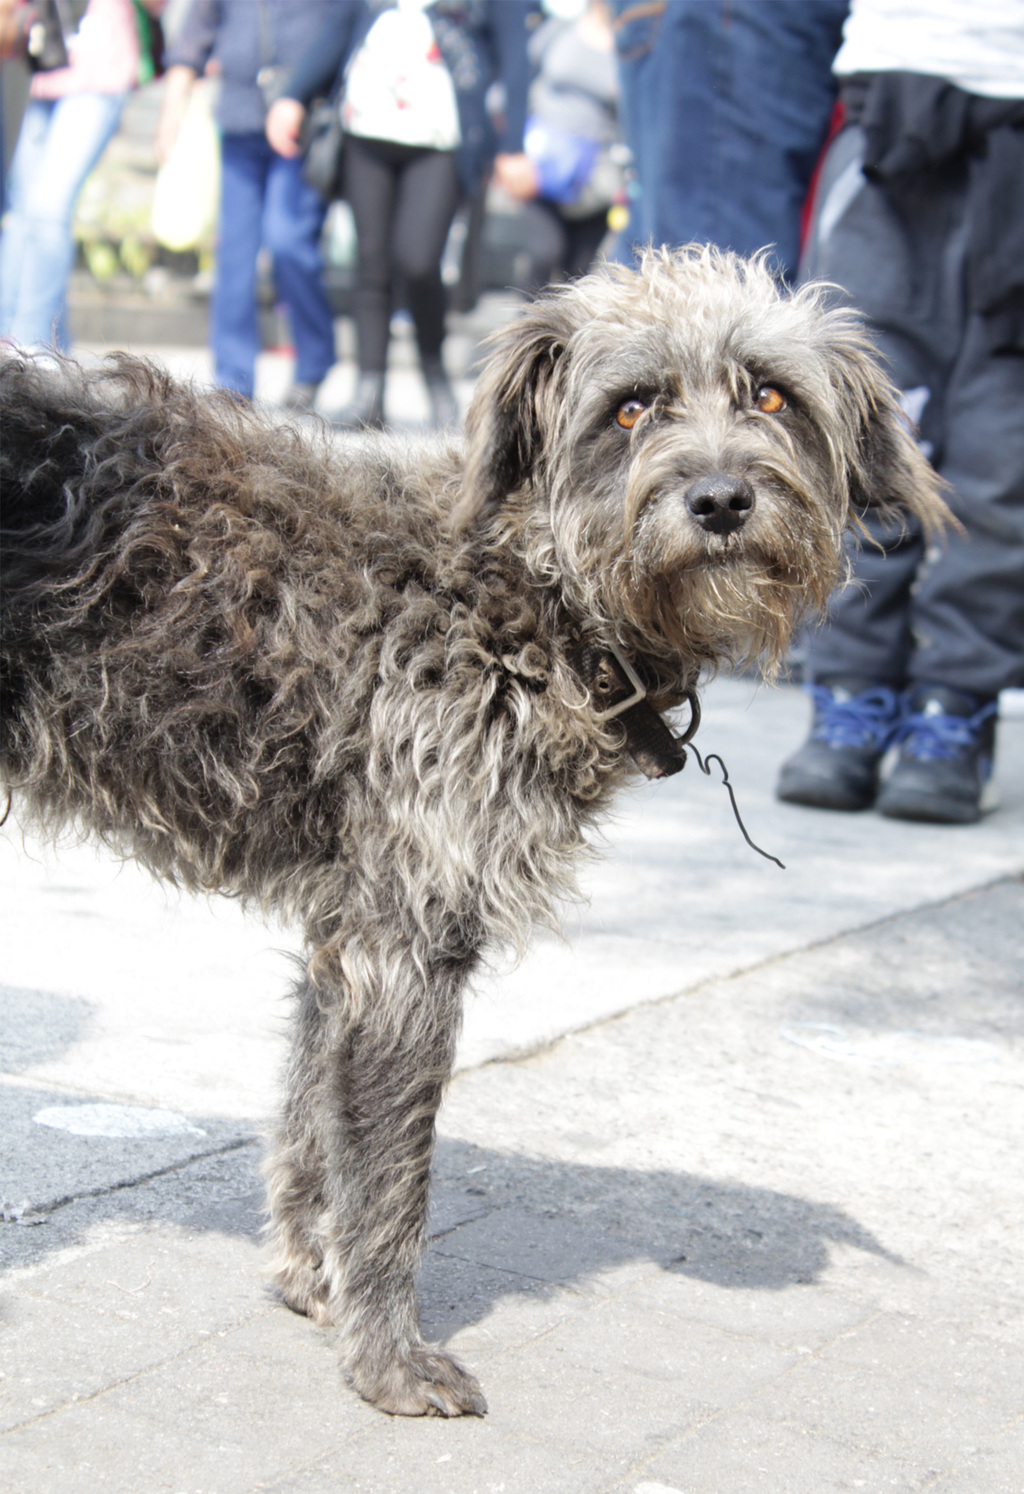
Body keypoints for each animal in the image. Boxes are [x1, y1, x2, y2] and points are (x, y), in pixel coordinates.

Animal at [0, 248, 946, 1417]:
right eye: (630, 407)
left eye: (772, 397)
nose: (721, 499)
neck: (530, 589)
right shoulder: (407, 942)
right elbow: (392, 1175)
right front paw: (387, 1360)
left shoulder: (348, 932)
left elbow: (316, 1128)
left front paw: (315, 1283)